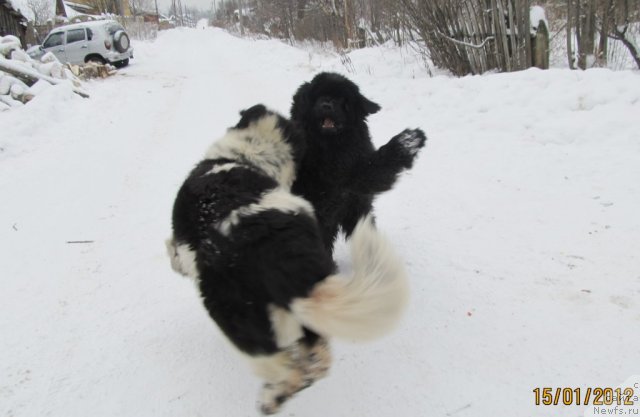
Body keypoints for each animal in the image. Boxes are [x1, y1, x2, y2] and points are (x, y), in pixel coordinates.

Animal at [162, 105, 408, 412]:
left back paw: (272, 398)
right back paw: (303, 374)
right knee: (316, 353)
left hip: (232, 313)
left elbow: (173, 248)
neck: (253, 153)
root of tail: (278, 253)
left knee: (278, 364)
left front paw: (174, 259)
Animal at [290, 72, 424, 250]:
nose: (326, 104)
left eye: (342, 99)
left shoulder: (358, 196)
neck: (332, 151)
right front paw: (405, 143)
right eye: (318, 96)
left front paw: (409, 141)